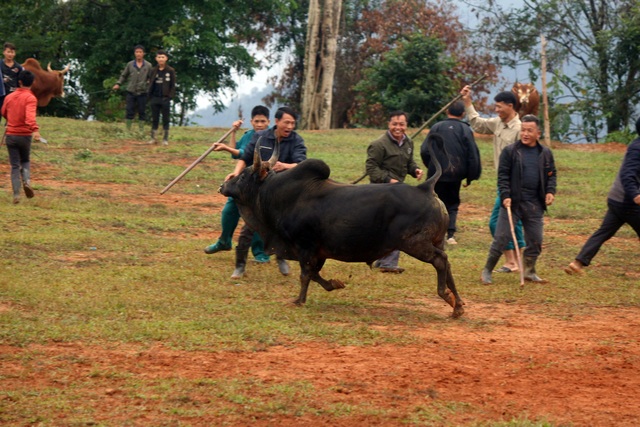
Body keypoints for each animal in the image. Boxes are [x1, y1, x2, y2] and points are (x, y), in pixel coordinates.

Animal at [220, 134, 464, 318]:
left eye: (243, 176)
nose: (223, 185)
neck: (278, 195)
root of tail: (425, 187)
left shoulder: (305, 247)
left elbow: (305, 275)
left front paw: (299, 300)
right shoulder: (318, 252)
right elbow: (315, 275)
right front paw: (335, 284)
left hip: (415, 244)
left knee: (441, 261)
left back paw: (447, 297)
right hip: (435, 241)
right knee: (447, 264)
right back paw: (458, 305)